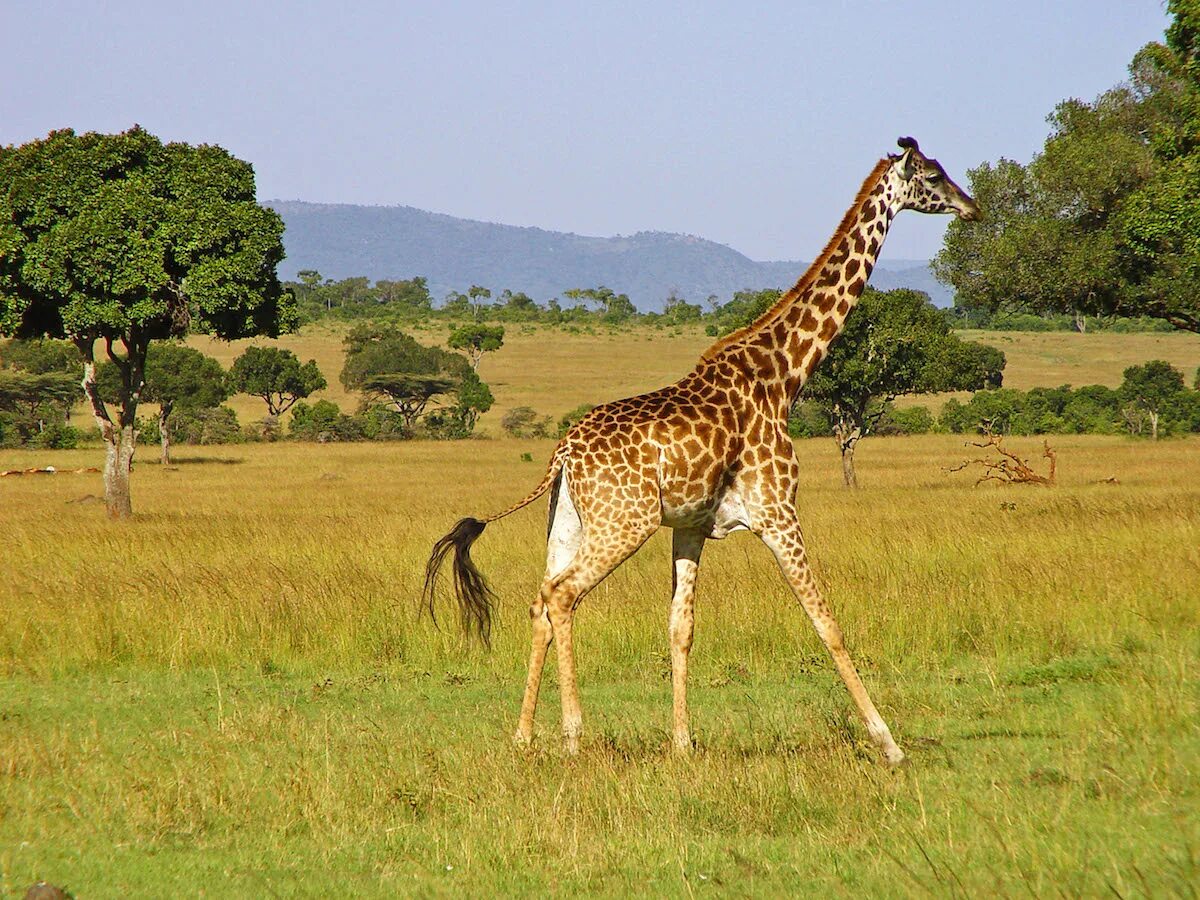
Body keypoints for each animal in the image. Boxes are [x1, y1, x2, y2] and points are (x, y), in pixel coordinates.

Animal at [427, 135, 979, 768]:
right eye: (932, 176)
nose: (971, 207)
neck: (783, 376)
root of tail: (563, 453)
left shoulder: (690, 525)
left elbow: (680, 628)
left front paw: (683, 743)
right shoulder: (777, 511)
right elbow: (827, 622)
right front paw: (889, 744)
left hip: (568, 522)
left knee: (541, 600)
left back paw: (523, 736)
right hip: (624, 524)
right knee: (563, 596)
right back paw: (572, 735)